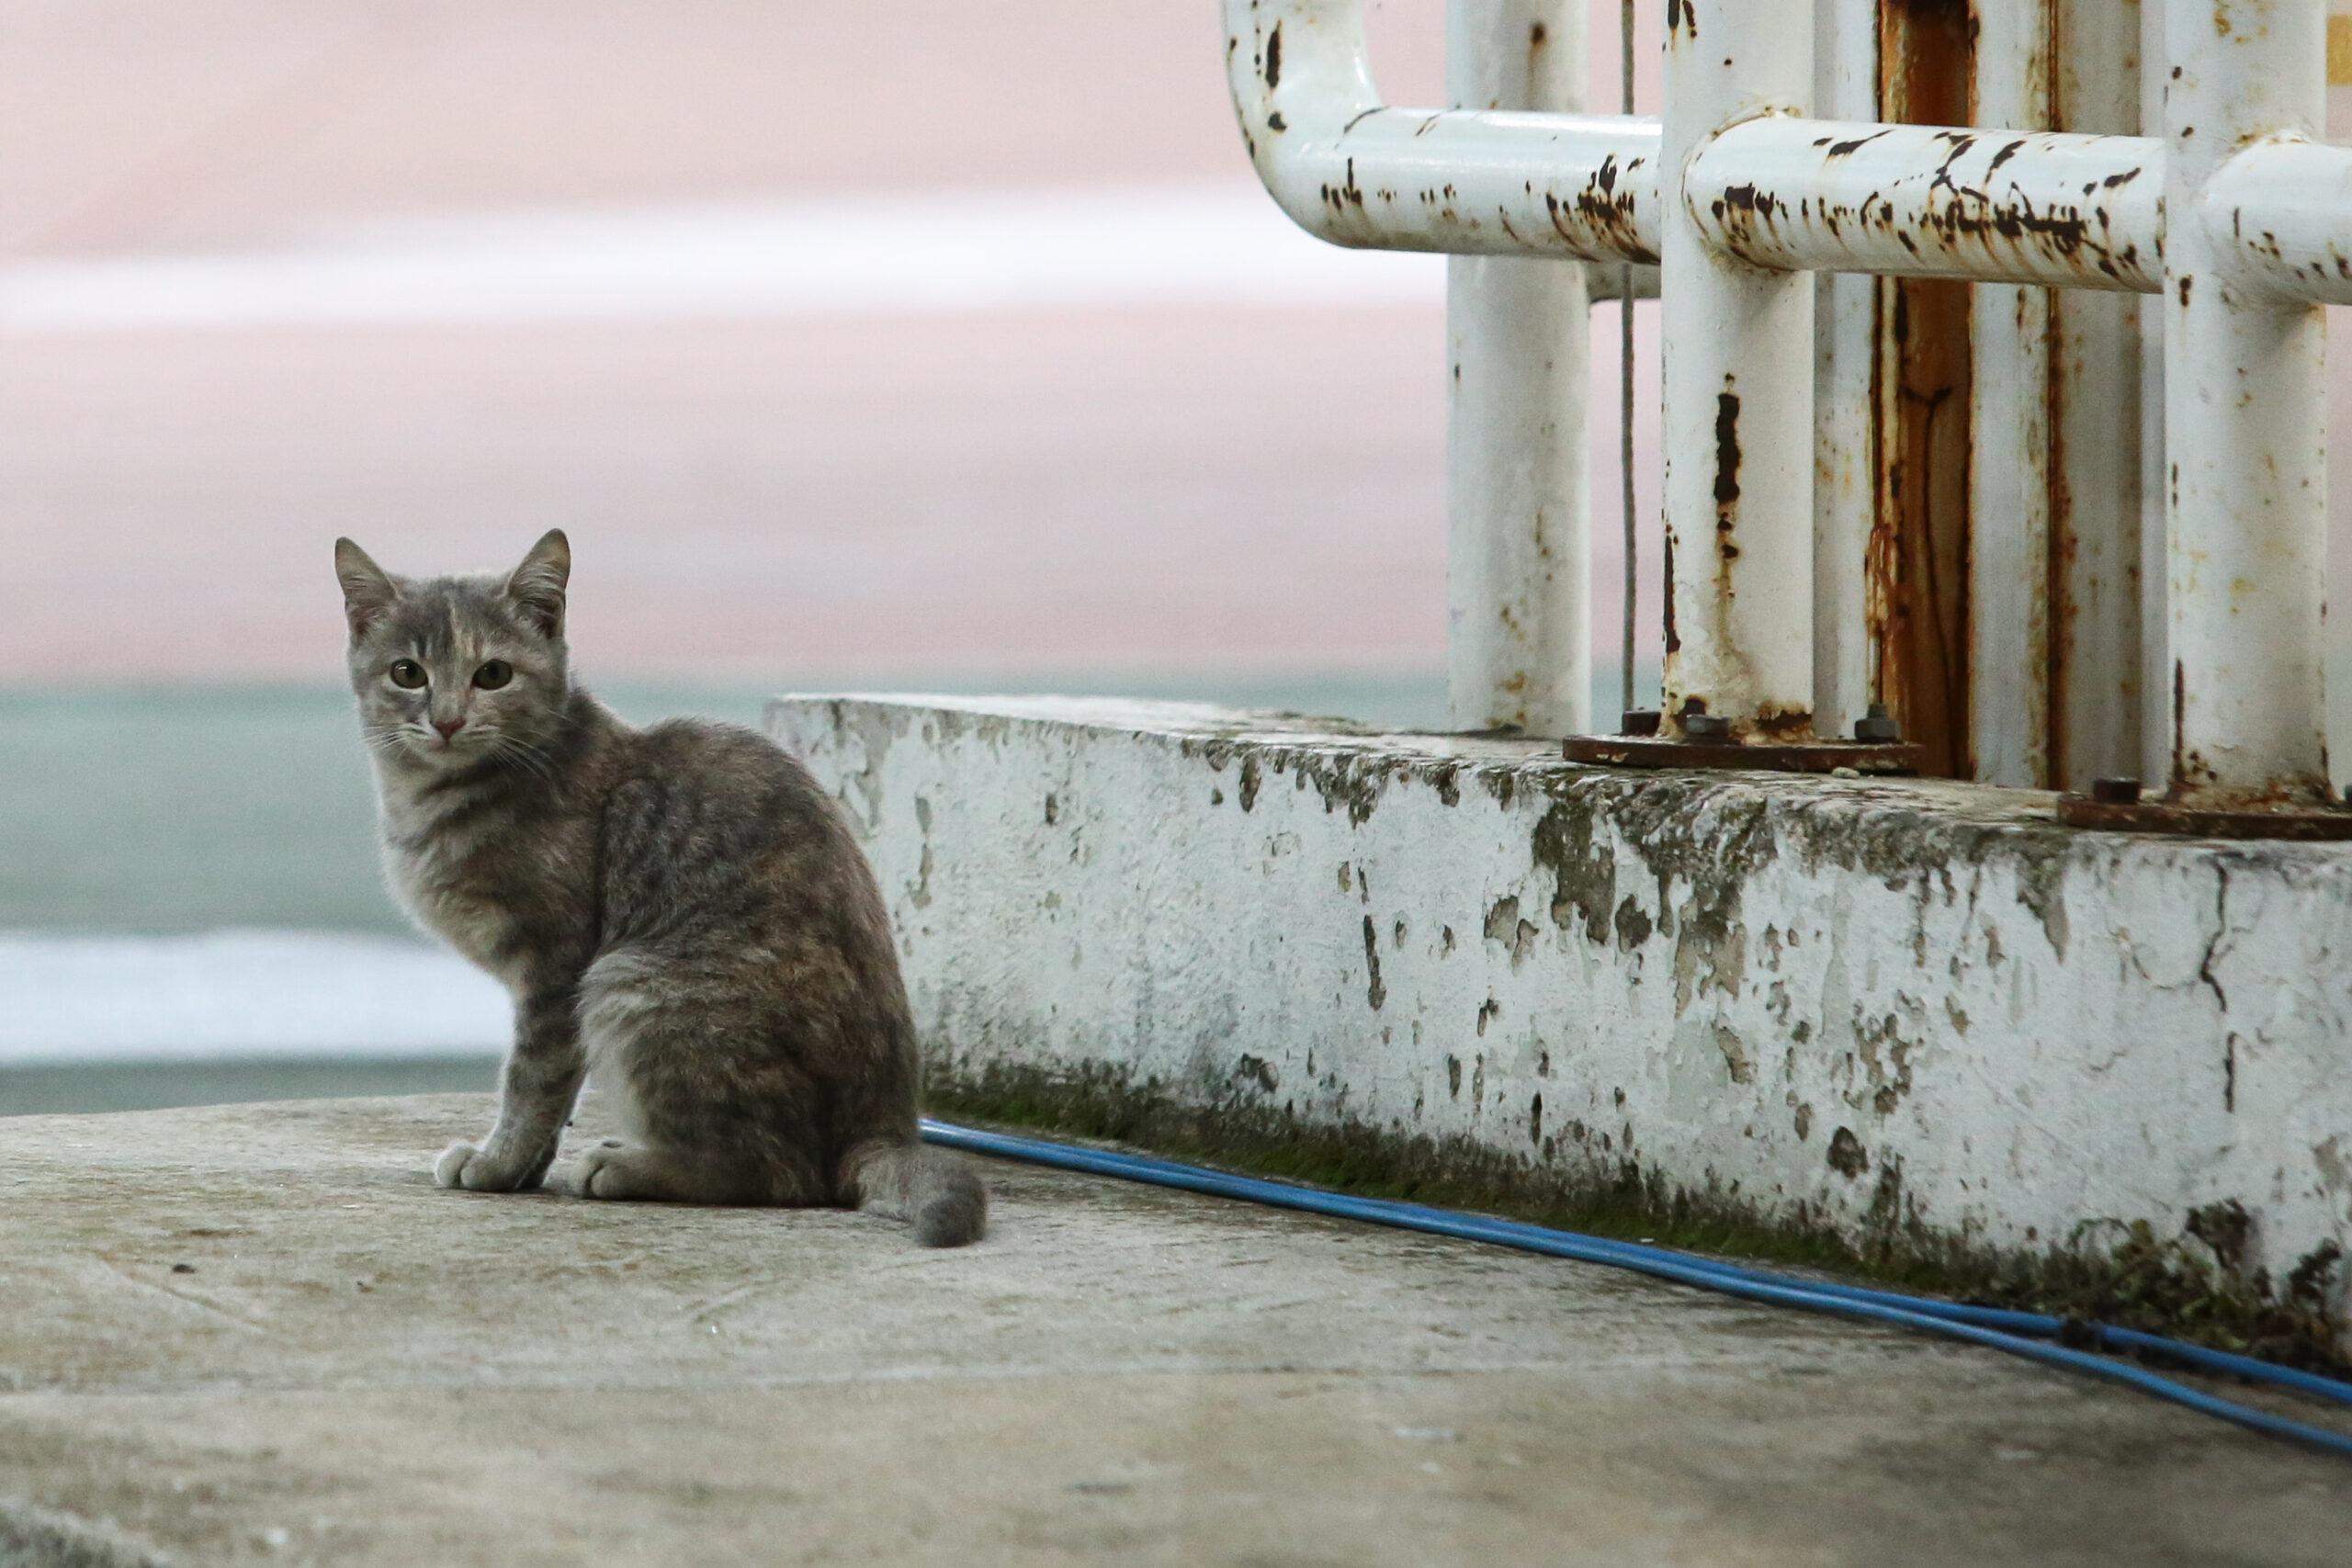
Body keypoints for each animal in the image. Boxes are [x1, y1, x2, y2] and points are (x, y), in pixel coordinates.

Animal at [338, 533, 983, 1241]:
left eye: (493, 674)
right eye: (407, 673)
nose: (448, 719)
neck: (433, 797)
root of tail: (879, 1131)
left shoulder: (557, 966)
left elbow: (532, 1079)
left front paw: (497, 1162)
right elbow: (555, 1092)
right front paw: (525, 1168)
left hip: (629, 985)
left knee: (781, 1172)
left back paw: (630, 1166)